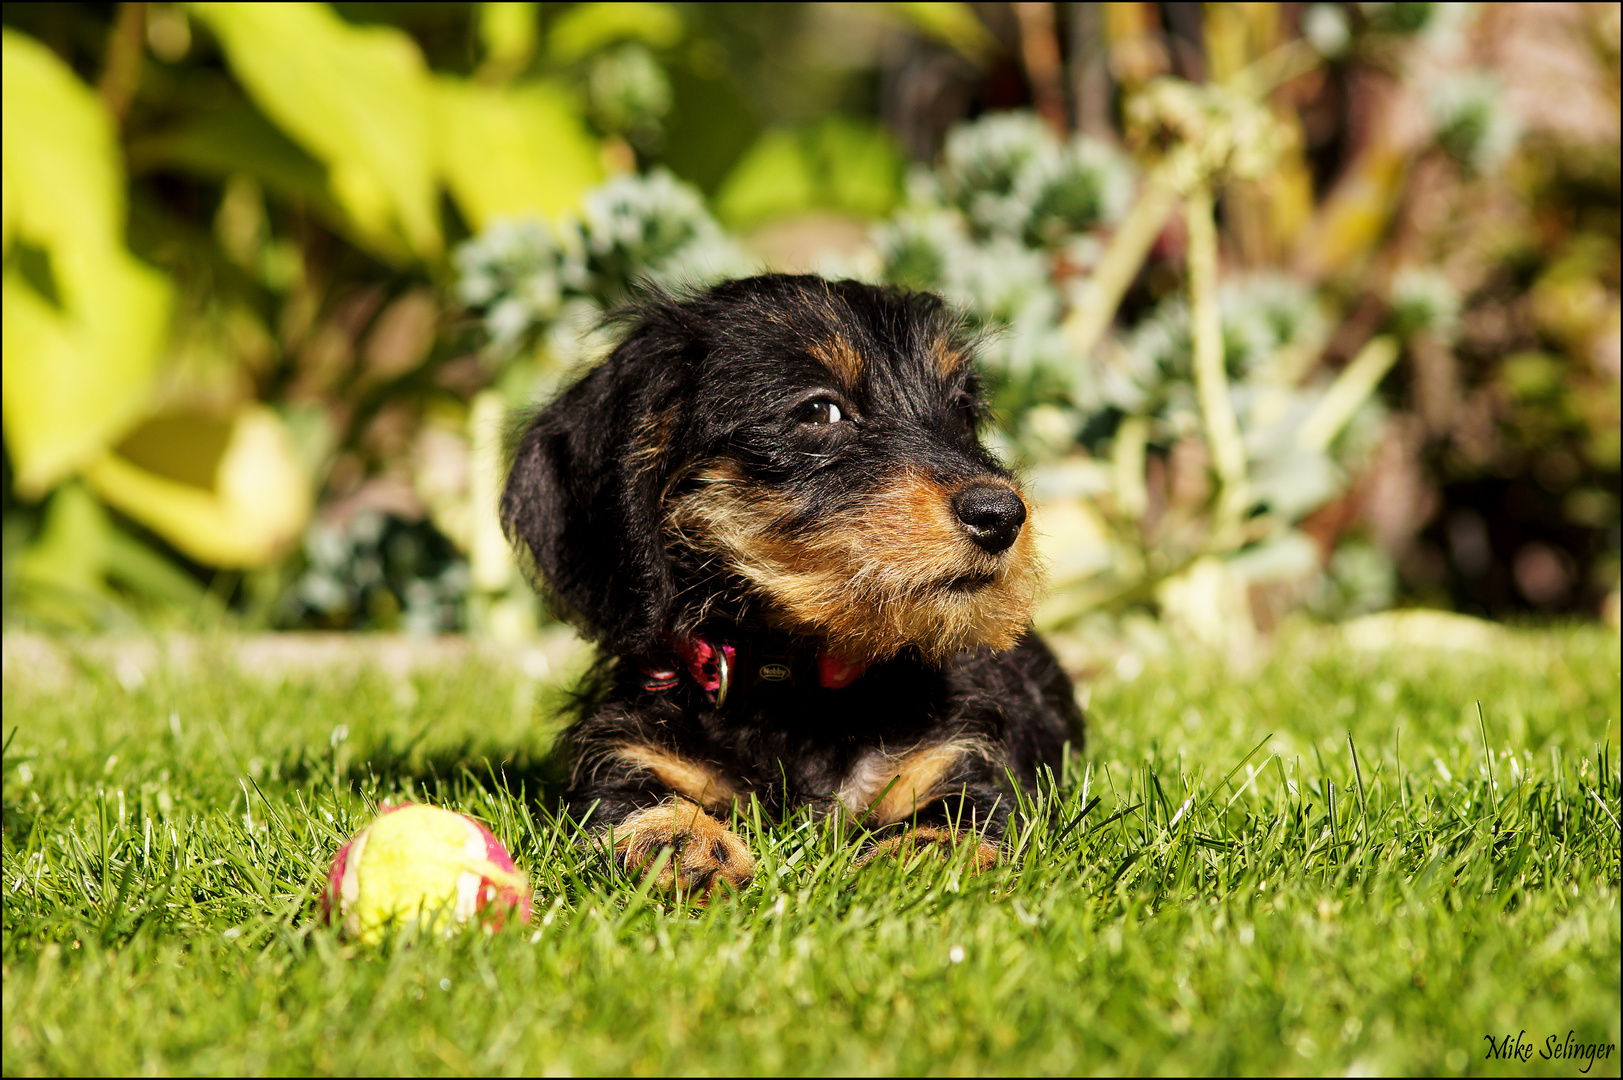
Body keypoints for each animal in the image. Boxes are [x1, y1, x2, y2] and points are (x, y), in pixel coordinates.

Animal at [503, 274, 1090, 896]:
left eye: (960, 410)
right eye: (818, 410)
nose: (1001, 515)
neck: (800, 685)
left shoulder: (964, 755)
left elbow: (967, 814)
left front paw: (921, 857)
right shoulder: (626, 749)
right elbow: (628, 798)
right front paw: (681, 840)